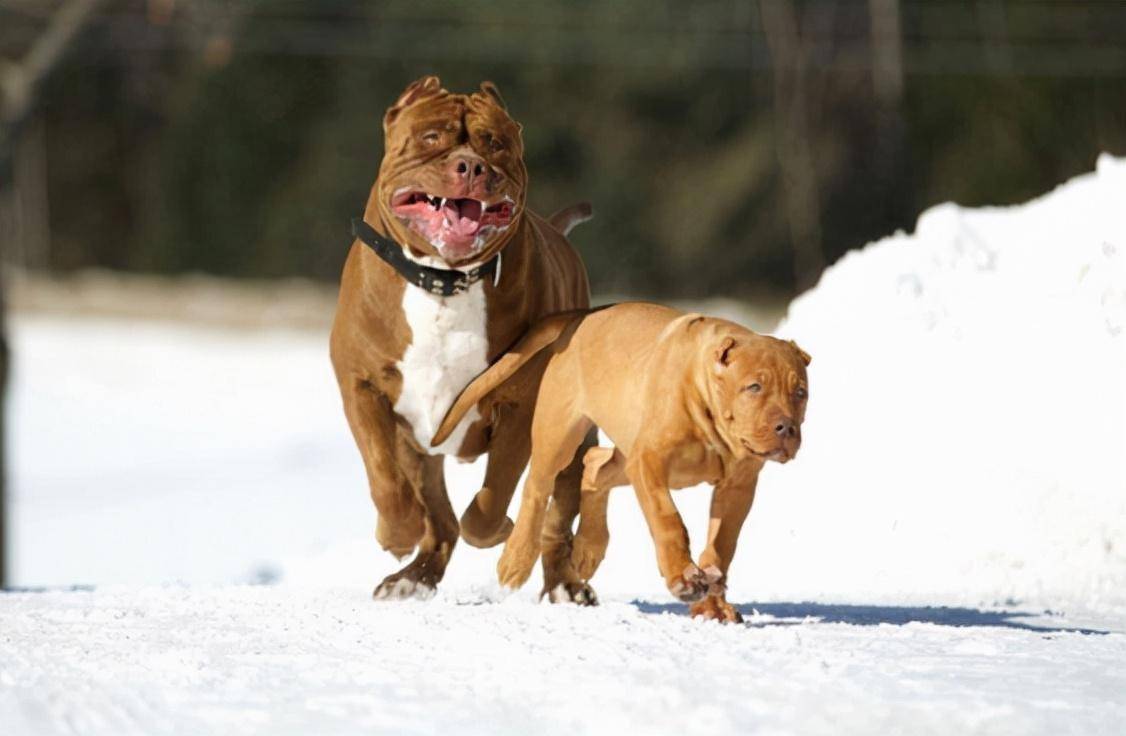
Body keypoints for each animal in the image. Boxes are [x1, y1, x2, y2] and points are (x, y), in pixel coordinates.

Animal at [331, 77, 599, 603]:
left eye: (493, 143)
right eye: (431, 137)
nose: (472, 166)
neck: (444, 281)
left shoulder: (520, 403)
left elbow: (494, 499)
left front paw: (500, 530)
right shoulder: (362, 387)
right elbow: (384, 478)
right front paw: (397, 533)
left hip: (572, 436)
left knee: (555, 510)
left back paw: (563, 584)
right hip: (418, 443)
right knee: (439, 519)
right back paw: (411, 576)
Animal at [430, 303, 810, 621]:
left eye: (800, 393)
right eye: (754, 387)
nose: (787, 428)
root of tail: (582, 316)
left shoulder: (738, 485)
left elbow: (721, 546)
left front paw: (713, 604)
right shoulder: (650, 461)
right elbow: (668, 520)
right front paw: (683, 578)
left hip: (625, 453)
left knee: (594, 466)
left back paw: (588, 548)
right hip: (560, 434)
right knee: (536, 488)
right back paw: (516, 559)